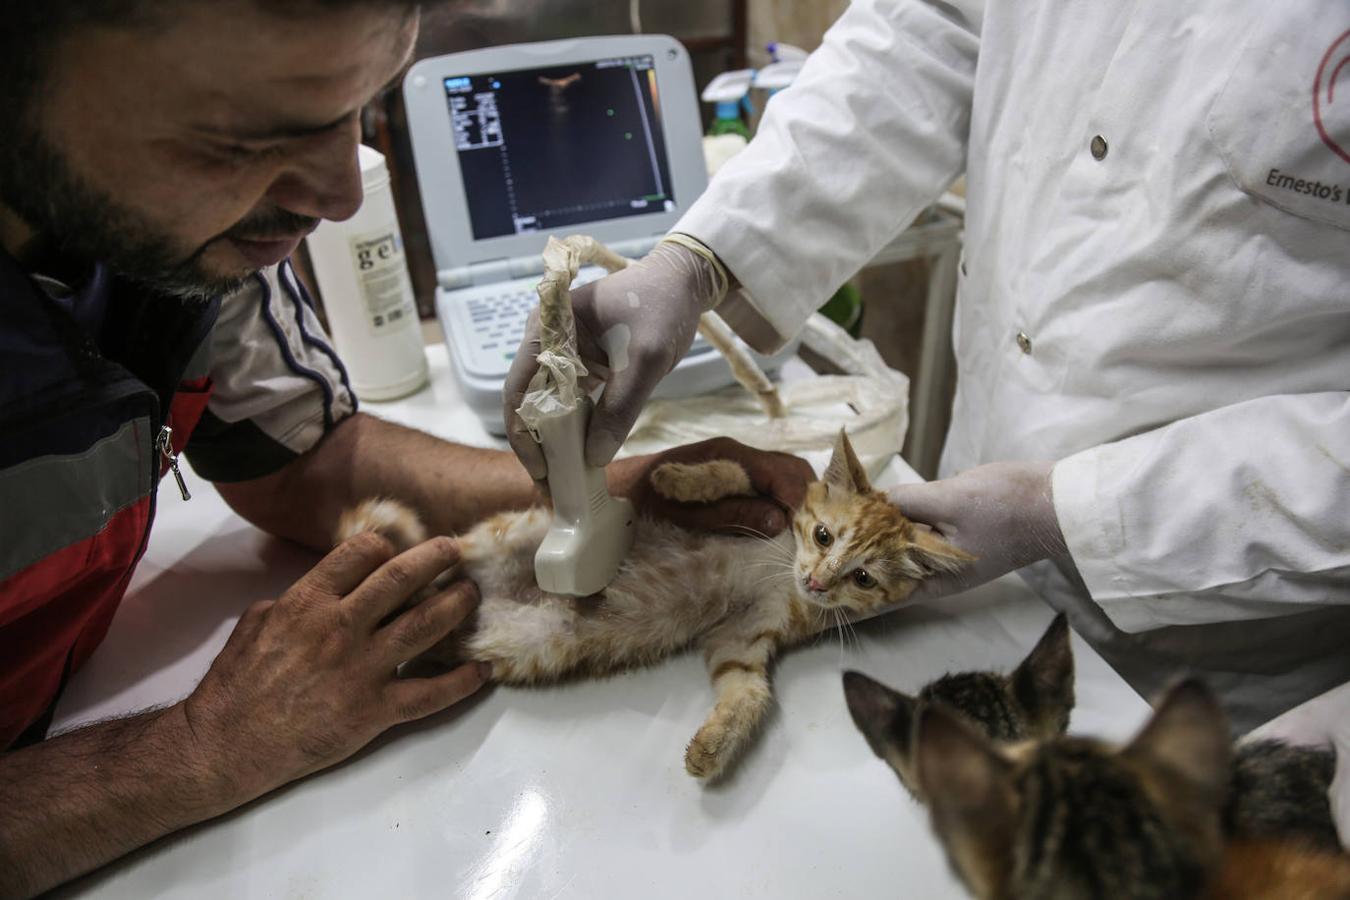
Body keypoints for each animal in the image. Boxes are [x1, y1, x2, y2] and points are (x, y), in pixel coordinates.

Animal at [337, 431, 972, 782]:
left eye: (862, 578)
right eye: (822, 535)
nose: (817, 582)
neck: (781, 571)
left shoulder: (742, 636)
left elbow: (749, 692)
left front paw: (714, 747)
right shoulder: (765, 508)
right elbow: (736, 472)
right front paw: (680, 477)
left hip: (510, 640)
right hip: (509, 533)